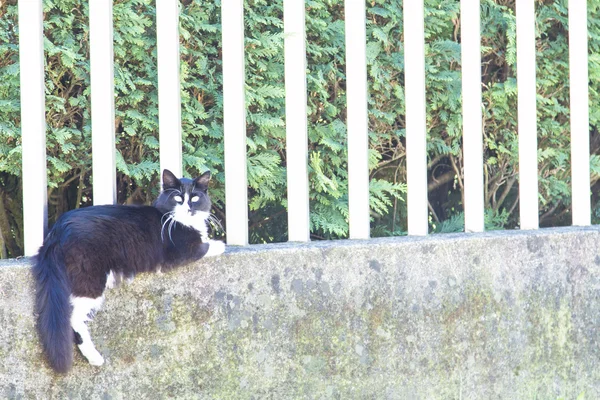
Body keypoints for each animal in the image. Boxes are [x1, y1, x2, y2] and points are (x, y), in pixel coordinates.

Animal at [31, 168, 223, 372]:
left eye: (195, 198)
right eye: (178, 198)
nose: (189, 208)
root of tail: (57, 230)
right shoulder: (181, 252)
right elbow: (205, 246)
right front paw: (219, 244)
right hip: (90, 279)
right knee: (73, 317)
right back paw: (94, 356)